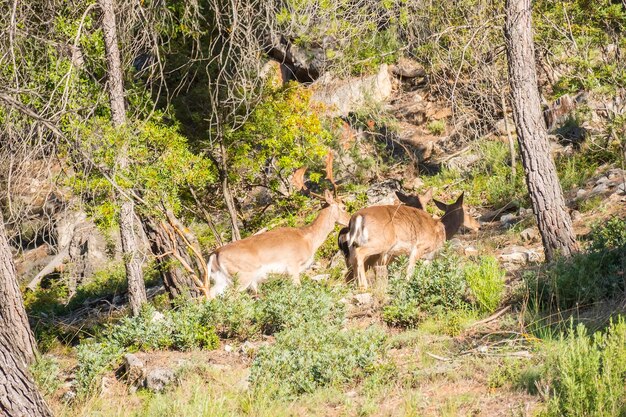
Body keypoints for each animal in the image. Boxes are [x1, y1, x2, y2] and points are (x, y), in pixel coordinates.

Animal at [206, 154, 348, 298]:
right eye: (344, 207)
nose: (349, 221)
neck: (309, 239)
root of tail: (215, 254)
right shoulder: (293, 264)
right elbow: (298, 288)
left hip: (222, 279)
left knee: (210, 295)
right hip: (242, 276)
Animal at [346, 192, 478, 290]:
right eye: (467, 210)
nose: (478, 226)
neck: (442, 230)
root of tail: (356, 218)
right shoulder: (419, 246)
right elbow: (410, 270)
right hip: (381, 242)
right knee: (359, 254)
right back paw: (364, 286)